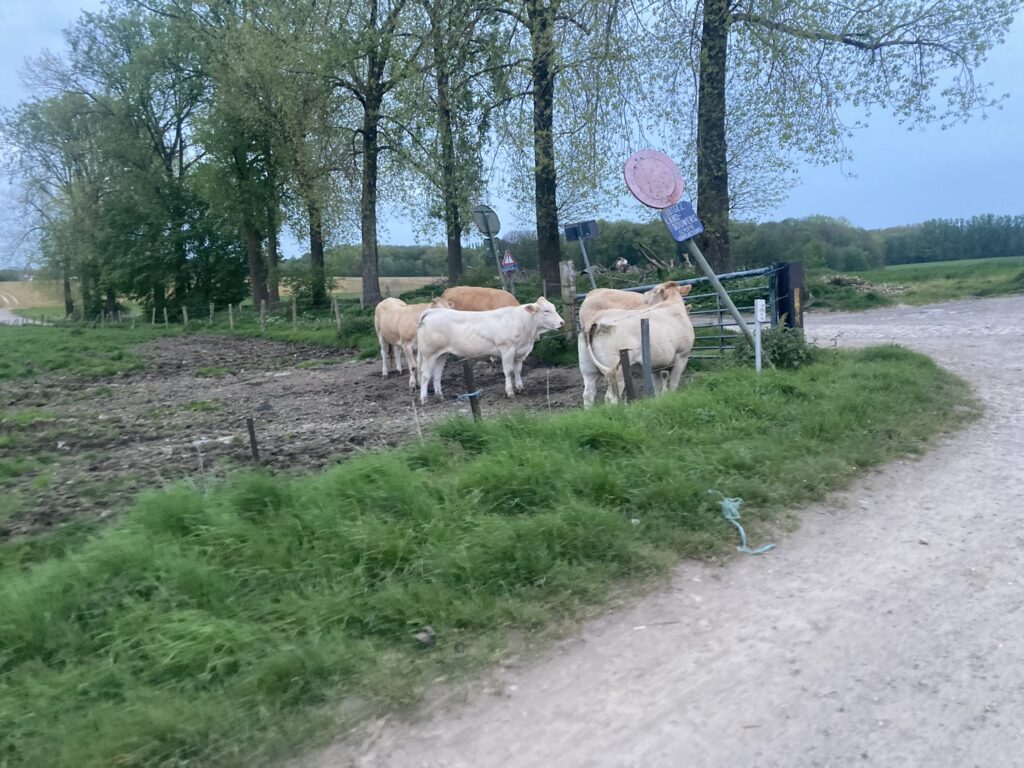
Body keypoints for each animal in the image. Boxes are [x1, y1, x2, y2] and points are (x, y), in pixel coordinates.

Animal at [417, 297, 564, 403]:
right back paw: (423, 399)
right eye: (546, 311)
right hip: (428, 354)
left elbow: (518, 370)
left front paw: (520, 388)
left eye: (553, 308)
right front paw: (510, 392)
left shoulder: (519, 352)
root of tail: (433, 311)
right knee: (425, 374)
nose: (562, 322)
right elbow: (508, 371)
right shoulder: (507, 349)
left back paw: (440, 396)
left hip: (441, 354)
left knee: (437, 374)